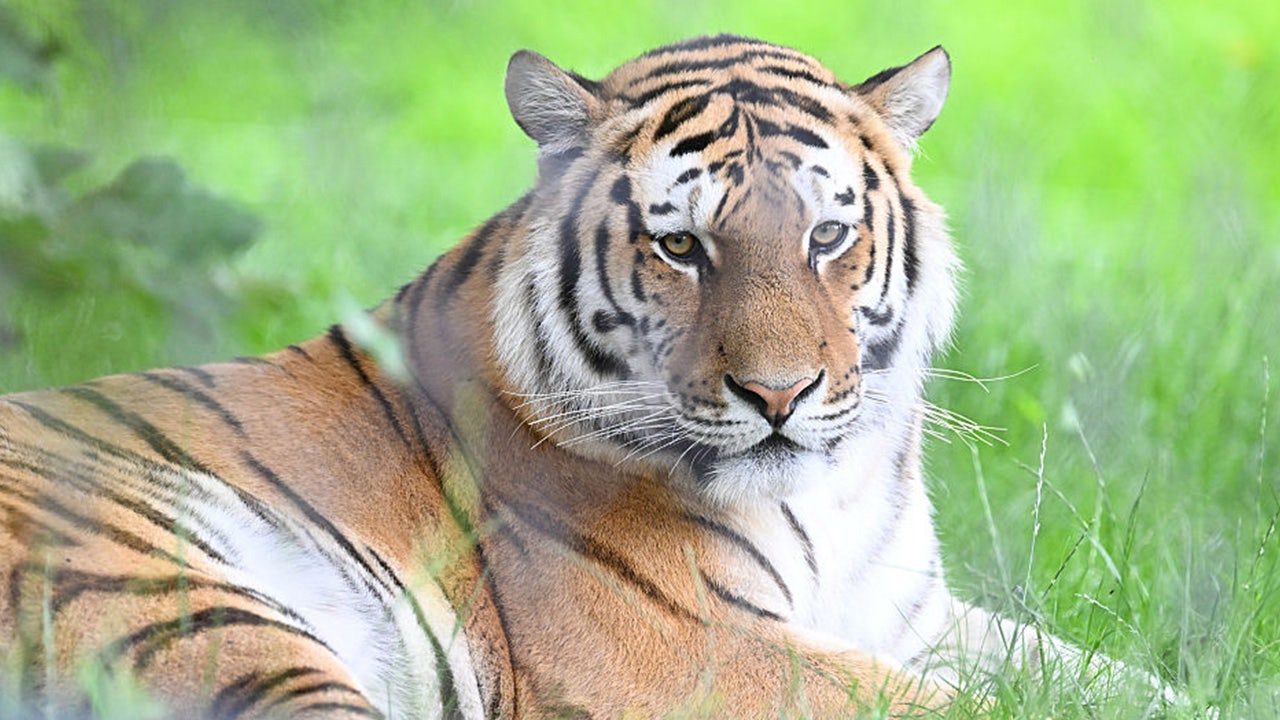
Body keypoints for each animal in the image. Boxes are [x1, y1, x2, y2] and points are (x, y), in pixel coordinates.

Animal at [0, 35, 1145, 719]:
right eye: (681, 247)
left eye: (826, 236)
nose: (778, 398)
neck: (832, 497)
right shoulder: (685, 644)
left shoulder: (913, 613)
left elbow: (1112, 679)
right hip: (171, 594)